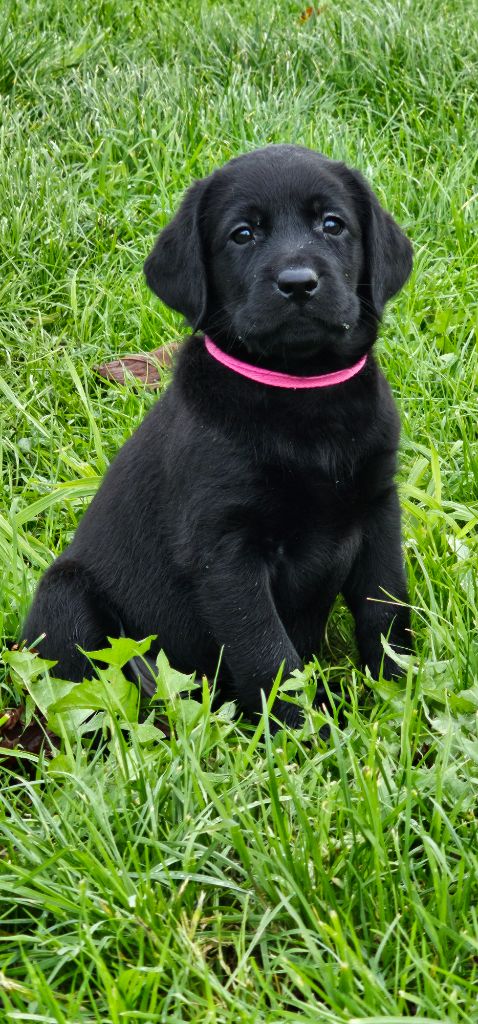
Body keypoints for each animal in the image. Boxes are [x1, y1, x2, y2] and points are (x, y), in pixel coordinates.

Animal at [22, 144, 411, 729]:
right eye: (242, 234)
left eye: (332, 224)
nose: (298, 283)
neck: (300, 390)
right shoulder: (226, 551)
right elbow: (269, 653)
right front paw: (301, 734)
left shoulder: (378, 510)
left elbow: (386, 615)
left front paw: (402, 699)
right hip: (64, 598)